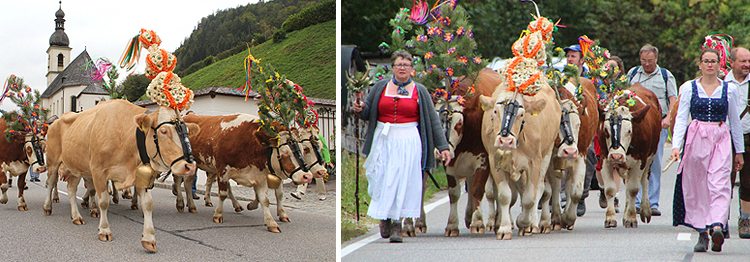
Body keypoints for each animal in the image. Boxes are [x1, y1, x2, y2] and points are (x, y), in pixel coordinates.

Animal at [42, 100, 198, 252]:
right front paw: (104, 230)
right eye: (164, 131)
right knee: (50, 183)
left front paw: (149, 239)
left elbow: (148, 204)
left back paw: (76, 217)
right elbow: (104, 201)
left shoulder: (139, 175)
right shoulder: (98, 171)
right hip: (53, 162)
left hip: (76, 167)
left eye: (187, 132)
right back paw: (48, 207)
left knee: (71, 189)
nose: (190, 166)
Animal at [182, 113, 314, 232]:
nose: (307, 176)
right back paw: (191, 205)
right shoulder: (223, 170)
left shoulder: (260, 175)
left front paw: (271, 222)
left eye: (303, 149)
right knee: (188, 184)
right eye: (285, 152)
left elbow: (265, 199)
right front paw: (218, 215)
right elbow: (223, 194)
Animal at [484, 80, 560, 239]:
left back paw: (535, 223)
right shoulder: (494, 161)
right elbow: (504, 195)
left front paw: (525, 223)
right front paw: (504, 228)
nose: (506, 141)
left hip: (547, 153)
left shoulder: (534, 162)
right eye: (495, 111)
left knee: (540, 189)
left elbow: (530, 197)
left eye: (521, 113)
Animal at [540, 79, 600, 232]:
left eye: (579, 124)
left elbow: (575, 192)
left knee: (567, 186)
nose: (570, 151)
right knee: (556, 187)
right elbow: (546, 192)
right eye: (557, 124)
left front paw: (568, 218)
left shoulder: (581, 155)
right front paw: (545, 222)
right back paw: (555, 218)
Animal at [596, 83, 660, 227]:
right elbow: (610, 189)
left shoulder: (640, 159)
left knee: (645, 180)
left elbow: (633, 189)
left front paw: (631, 218)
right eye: (606, 130)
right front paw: (610, 218)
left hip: (650, 157)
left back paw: (645, 210)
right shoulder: (604, 158)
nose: (616, 156)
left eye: (629, 131)